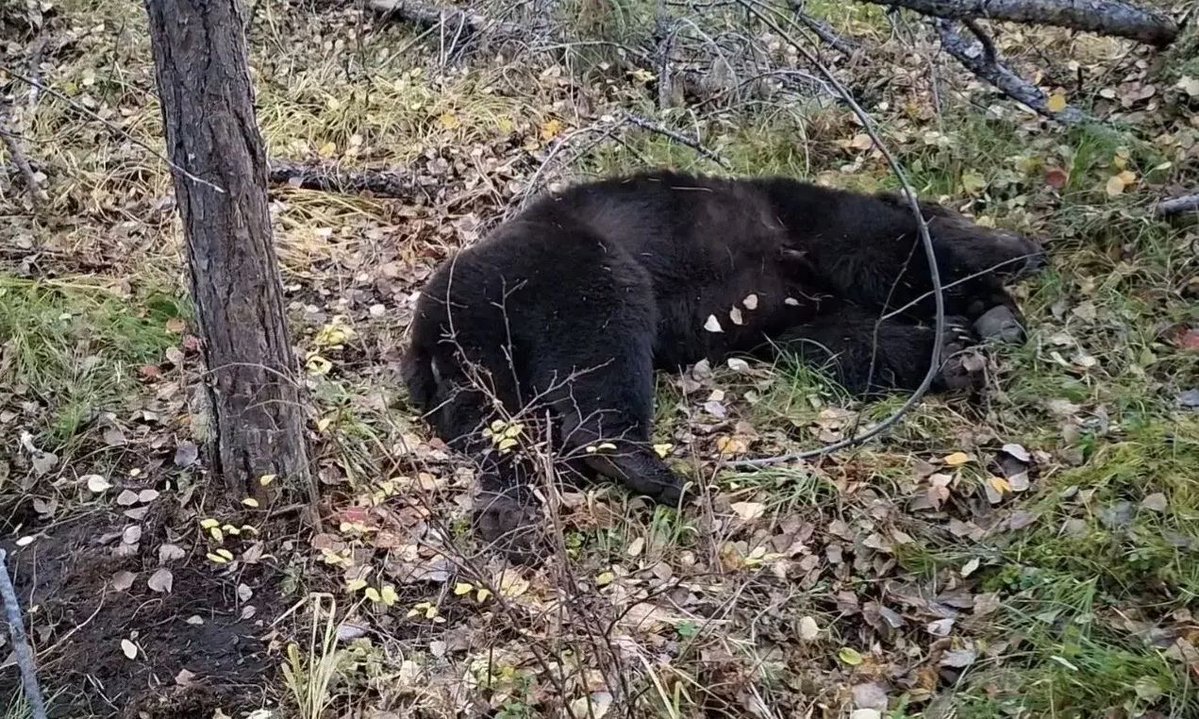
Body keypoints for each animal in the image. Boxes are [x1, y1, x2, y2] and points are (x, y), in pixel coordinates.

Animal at [401, 170, 1044, 558]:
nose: (1032, 249)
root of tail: (432, 332)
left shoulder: (795, 313)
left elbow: (844, 344)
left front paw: (957, 350)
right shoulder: (810, 224)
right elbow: (898, 252)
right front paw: (998, 288)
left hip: (476, 364)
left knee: (495, 427)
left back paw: (507, 511)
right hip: (572, 266)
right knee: (602, 345)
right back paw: (648, 470)